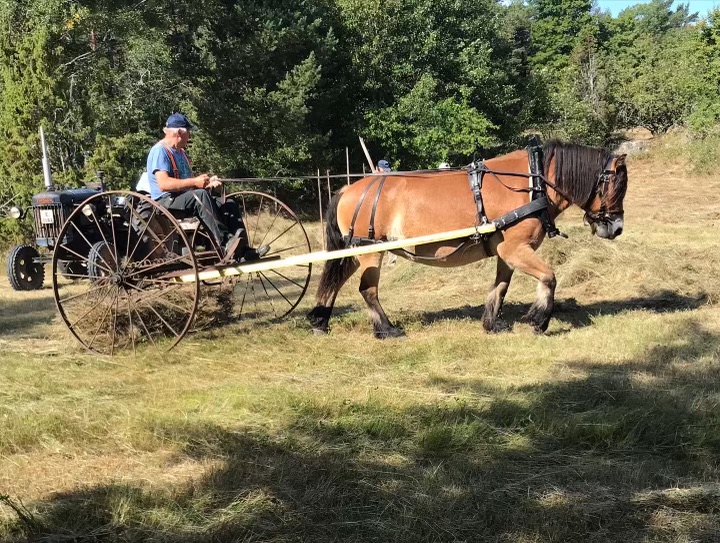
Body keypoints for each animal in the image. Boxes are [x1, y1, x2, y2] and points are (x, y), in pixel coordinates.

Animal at [306, 139, 628, 336]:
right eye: (618, 185)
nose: (617, 228)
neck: (532, 184)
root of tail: (348, 188)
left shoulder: (506, 252)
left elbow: (500, 288)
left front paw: (492, 323)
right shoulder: (516, 248)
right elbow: (549, 277)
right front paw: (538, 319)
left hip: (354, 250)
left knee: (335, 279)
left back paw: (320, 320)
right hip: (371, 251)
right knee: (368, 290)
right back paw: (386, 330)